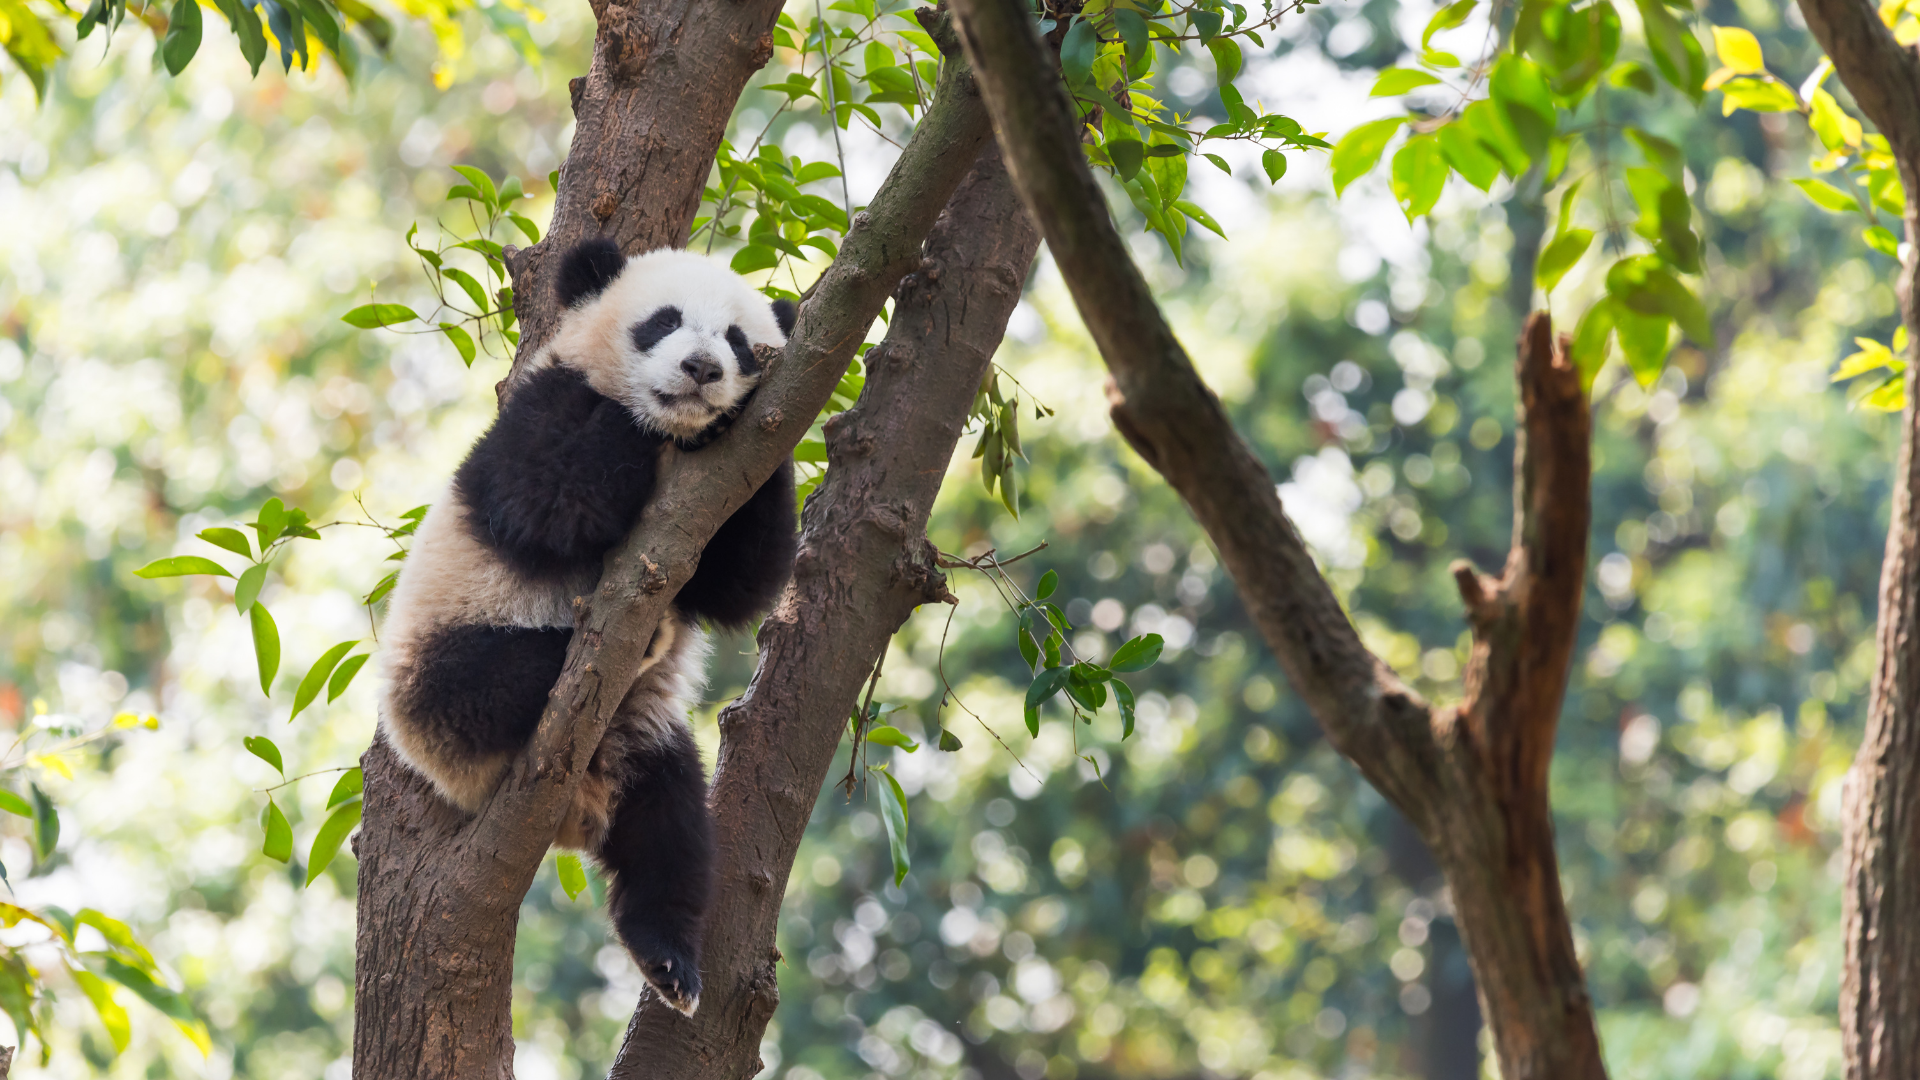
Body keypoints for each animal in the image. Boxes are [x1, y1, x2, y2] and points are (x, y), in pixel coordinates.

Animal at [377, 238, 799, 1017]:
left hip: (642, 737)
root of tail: (576, 808)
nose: (703, 370)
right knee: (487, 682)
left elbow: (739, 584)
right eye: (664, 322)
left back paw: (667, 959)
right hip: (436, 674)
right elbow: (551, 496)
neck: (675, 450)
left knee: (671, 830)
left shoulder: (712, 502)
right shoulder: (540, 409)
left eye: (735, 341)